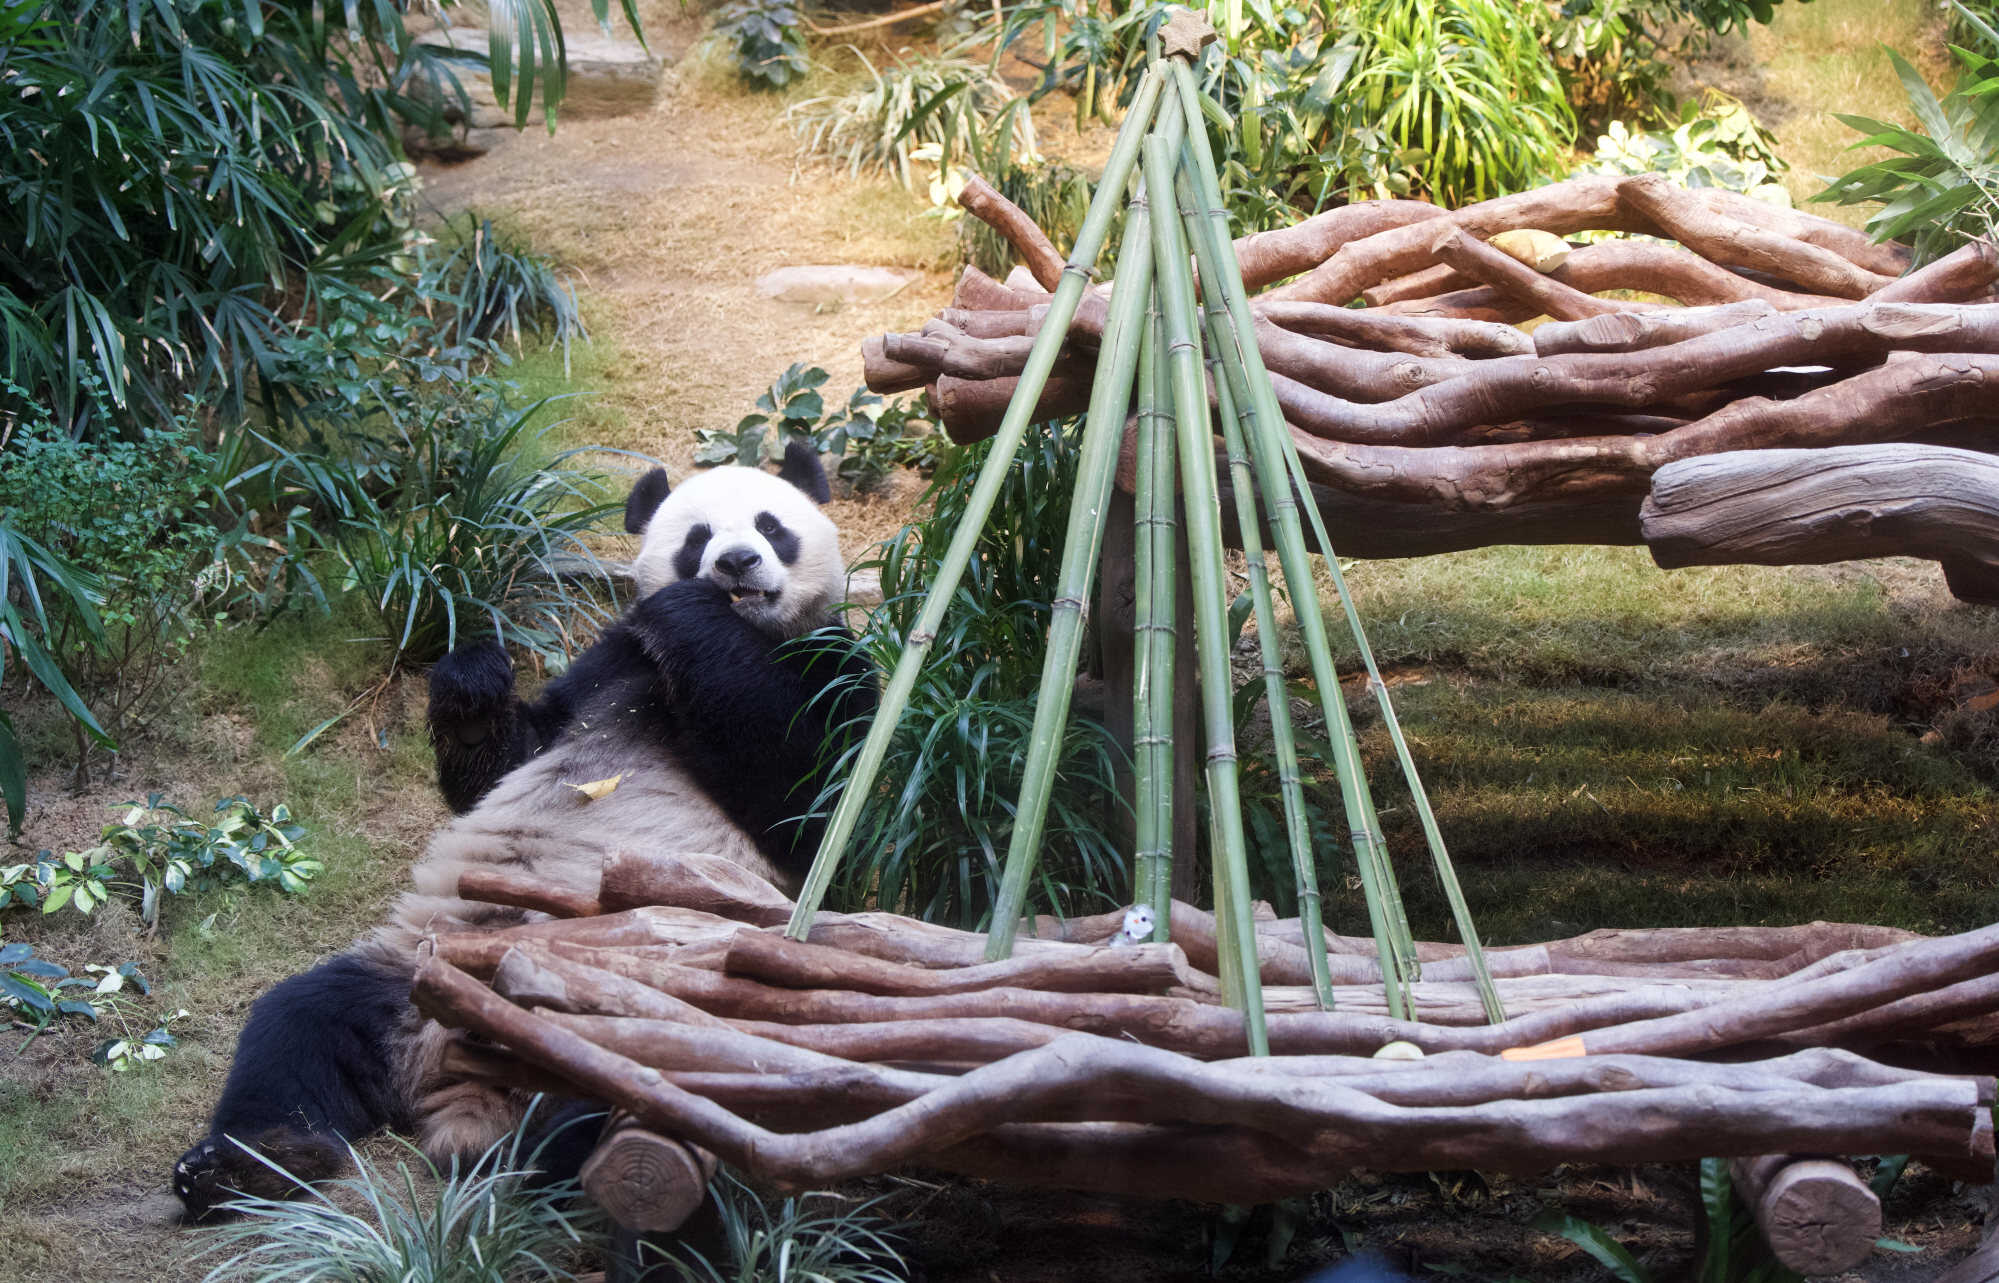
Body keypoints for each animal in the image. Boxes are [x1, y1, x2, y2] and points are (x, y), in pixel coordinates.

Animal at [173, 441, 876, 1220]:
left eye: (770, 525)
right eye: (697, 538)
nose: (736, 562)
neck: (749, 635)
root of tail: (462, 1080)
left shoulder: (835, 668)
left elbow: (811, 796)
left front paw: (692, 617)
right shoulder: (605, 665)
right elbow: (506, 760)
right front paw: (473, 684)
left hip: (664, 1020)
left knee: (628, 1096)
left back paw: (530, 1162)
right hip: (406, 977)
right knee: (300, 1026)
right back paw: (251, 1165)